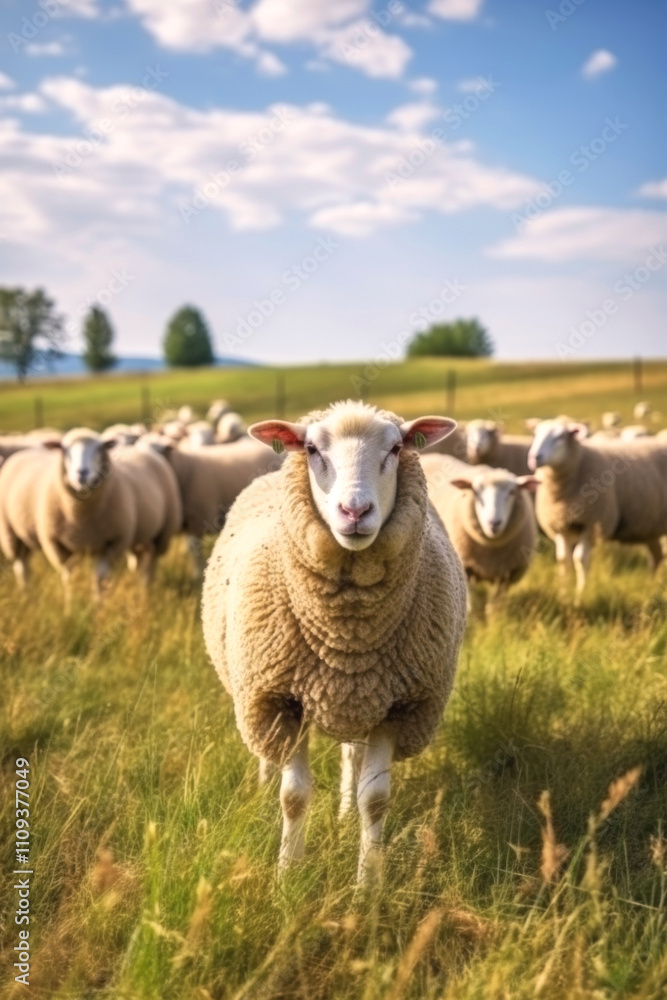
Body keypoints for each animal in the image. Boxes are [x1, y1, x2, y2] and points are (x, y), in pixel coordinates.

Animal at [0, 429, 181, 601]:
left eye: (99, 449)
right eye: (64, 449)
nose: (82, 473)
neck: (80, 517)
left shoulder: (112, 542)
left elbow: (100, 579)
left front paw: (98, 606)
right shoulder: (56, 544)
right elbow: (69, 577)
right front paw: (71, 604)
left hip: (161, 533)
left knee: (150, 564)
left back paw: (146, 591)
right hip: (12, 535)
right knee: (22, 568)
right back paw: (26, 595)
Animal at [201, 401, 467, 884]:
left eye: (396, 448)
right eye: (311, 449)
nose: (354, 511)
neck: (348, 635)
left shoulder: (397, 705)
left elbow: (375, 799)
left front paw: (369, 884)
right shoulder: (281, 699)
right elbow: (294, 797)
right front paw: (287, 874)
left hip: (359, 700)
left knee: (351, 760)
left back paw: (344, 815)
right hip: (255, 697)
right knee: (267, 754)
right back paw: (262, 790)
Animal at [420, 454, 538, 614]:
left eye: (512, 492)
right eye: (476, 492)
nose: (494, 523)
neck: (491, 548)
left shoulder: (509, 573)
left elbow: (498, 599)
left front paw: (494, 614)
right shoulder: (465, 566)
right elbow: (473, 599)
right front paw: (474, 612)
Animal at [528, 420, 667, 593]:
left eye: (560, 436)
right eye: (535, 434)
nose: (534, 458)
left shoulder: (591, 524)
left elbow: (580, 559)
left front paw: (581, 591)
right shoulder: (560, 526)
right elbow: (563, 560)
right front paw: (563, 591)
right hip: (650, 527)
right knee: (657, 556)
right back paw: (652, 584)